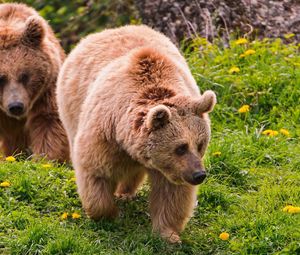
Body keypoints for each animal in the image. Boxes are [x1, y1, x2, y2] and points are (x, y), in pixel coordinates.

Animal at [0, 3, 69, 161]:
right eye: (0, 78)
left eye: (24, 76)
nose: (16, 106)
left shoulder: (46, 89)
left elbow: (48, 121)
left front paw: (44, 159)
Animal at [56, 24, 216, 242]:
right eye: (180, 147)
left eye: (200, 144)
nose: (199, 174)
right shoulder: (105, 134)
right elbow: (96, 171)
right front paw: (107, 214)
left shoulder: (171, 169)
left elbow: (171, 194)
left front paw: (169, 234)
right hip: (71, 107)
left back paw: (126, 191)